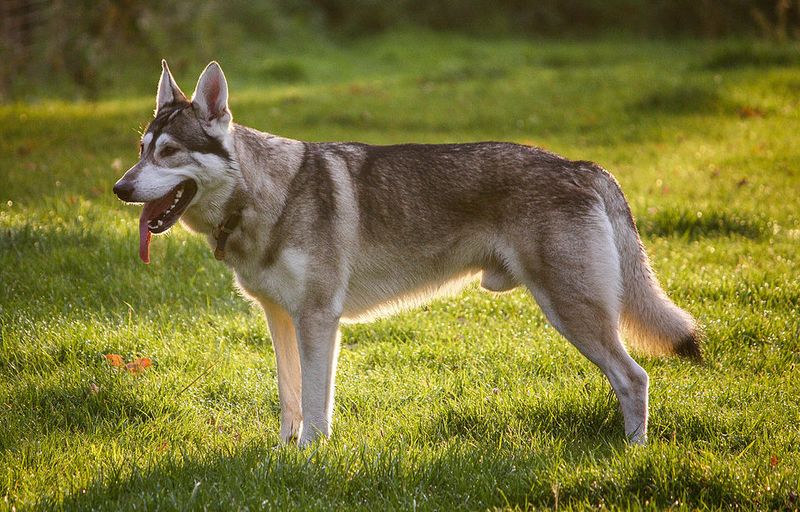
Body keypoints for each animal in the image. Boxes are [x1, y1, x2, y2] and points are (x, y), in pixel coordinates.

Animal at [113, 60, 701, 447]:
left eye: (169, 152)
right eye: (141, 150)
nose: (120, 188)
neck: (265, 196)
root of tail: (582, 165)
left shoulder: (319, 320)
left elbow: (316, 407)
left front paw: (311, 458)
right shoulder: (279, 318)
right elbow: (290, 401)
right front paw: (282, 456)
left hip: (573, 314)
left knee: (635, 378)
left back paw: (632, 452)